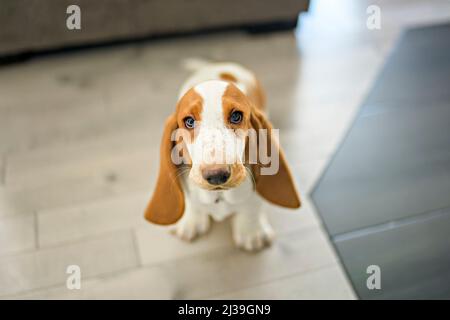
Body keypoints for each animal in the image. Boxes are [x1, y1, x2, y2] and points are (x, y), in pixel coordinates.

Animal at [144, 62, 300, 250]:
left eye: (236, 116)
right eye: (189, 121)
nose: (216, 175)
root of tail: (216, 65)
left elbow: (252, 207)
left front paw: (251, 233)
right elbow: (192, 203)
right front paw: (191, 222)